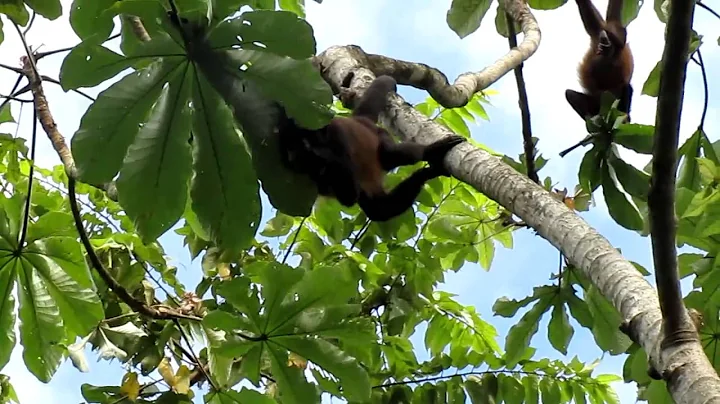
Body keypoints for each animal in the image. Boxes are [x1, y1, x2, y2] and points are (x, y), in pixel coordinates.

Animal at [278, 75, 464, 221]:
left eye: (312, 133)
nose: (304, 149)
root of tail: (359, 119)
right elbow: (348, 197)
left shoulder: (337, 135)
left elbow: (348, 190)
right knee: (379, 209)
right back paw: (427, 173)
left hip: (380, 133)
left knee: (391, 155)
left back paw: (431, 151)